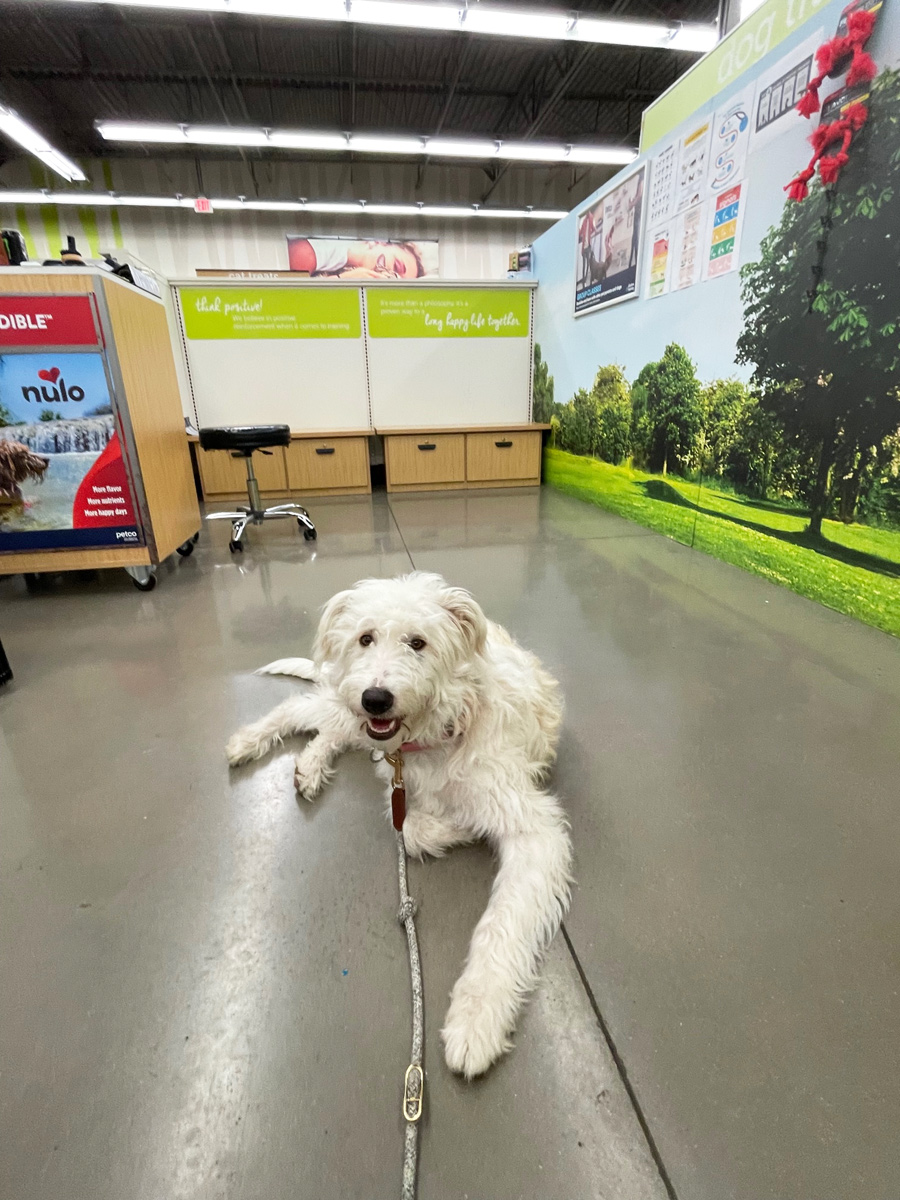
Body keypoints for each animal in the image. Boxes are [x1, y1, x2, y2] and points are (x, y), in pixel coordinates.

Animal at [224, 568, 571, 1080]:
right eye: (366, 638)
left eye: (418, 642)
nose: (376, 698)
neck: (439, 731)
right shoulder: (394, 774)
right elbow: (406, 823)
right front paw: (456, 825)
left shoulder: (530, 827)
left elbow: (498, 920)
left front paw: (476, 1019)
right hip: (343, 706)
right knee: (301, 710)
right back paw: (249, 741)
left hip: (350, 718)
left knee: (325, 730)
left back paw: (309, 766)